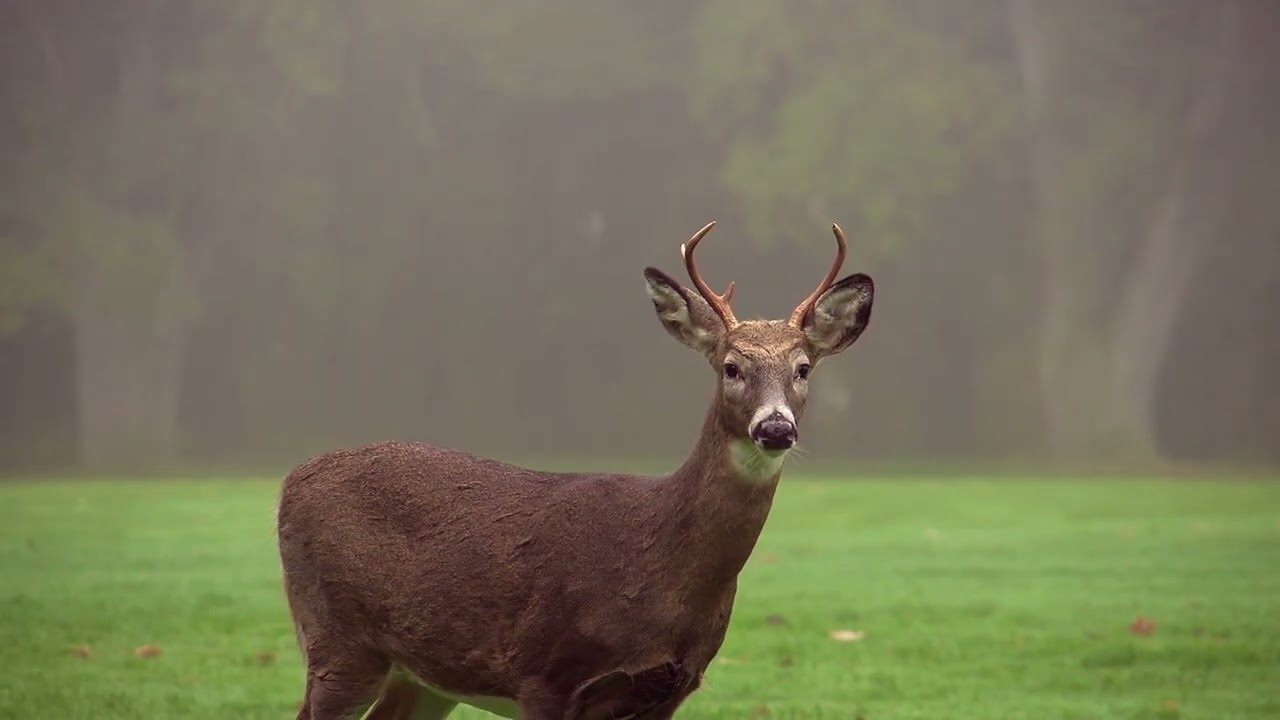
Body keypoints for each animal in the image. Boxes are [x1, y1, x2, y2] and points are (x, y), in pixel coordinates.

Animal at [276, 220, 875, 720]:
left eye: (803, 369)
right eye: (731, 367)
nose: (775, 428)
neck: (659, 564)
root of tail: (289, 482)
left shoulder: (668, 691)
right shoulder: (543, 673)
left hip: (421, 676)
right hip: (337, 639)